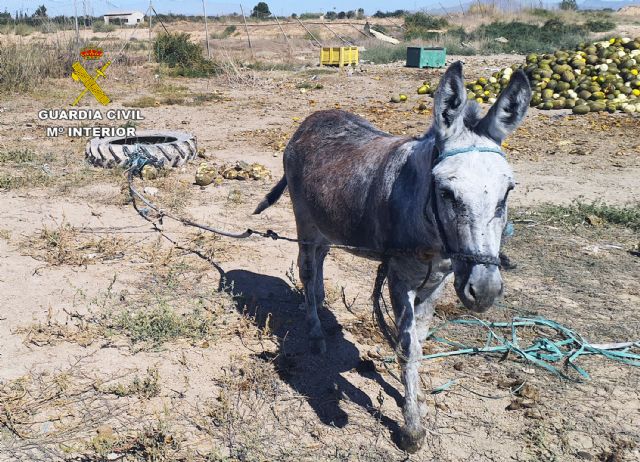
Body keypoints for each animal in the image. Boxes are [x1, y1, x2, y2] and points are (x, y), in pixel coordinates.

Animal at [254, 61, 531, 452]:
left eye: (508, 191)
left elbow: (420, 343)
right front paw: (411, 427)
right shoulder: (400, 280)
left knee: (320, 264)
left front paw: (414, 398)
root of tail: (312, 118)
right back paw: (316, 334)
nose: (485, 290)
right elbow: (407, 347)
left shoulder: (437, 282)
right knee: (307, 271)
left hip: (328, 224)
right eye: (446, 192)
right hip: (305, 222)